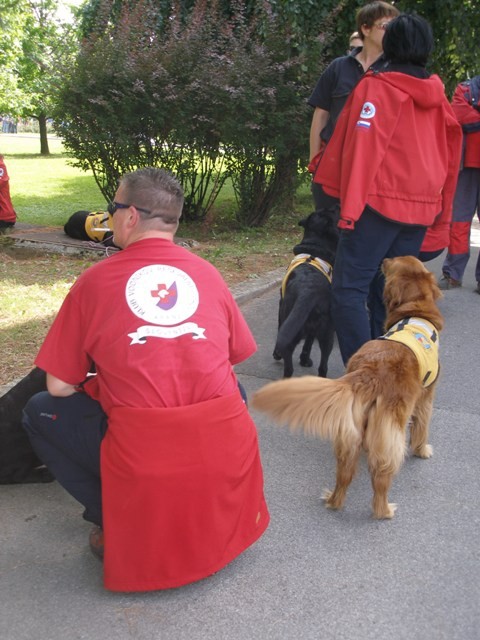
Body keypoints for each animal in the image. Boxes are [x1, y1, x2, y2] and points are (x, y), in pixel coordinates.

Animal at [272, 210, 340, 378]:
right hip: (327, 334)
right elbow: (308, 343)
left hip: (292, 328)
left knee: (289, 365)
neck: (313, 250)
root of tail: (308, 292)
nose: (338, 206)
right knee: (323, 366)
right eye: (331, 213)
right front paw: (305, 360)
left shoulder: (281, 307)